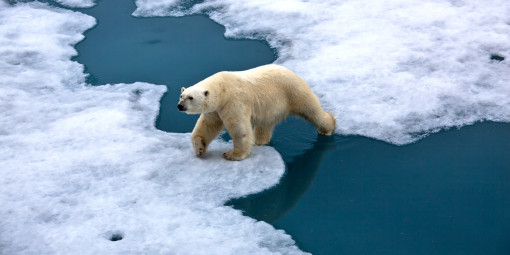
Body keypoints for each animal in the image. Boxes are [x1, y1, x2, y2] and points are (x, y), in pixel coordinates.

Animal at [177, 64, 336, 160]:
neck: (223, 89)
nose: (180, 106)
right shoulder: (216, 109)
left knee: (312, 111)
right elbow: (207, 126)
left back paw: (328, 127)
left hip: (294, 92)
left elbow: (239, 129)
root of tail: (293, 72)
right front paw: (200, 149)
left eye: (191, 97)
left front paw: (232, 154)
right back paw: (260, 141)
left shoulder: (234, 101)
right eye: (181, 95)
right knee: (264, 124)